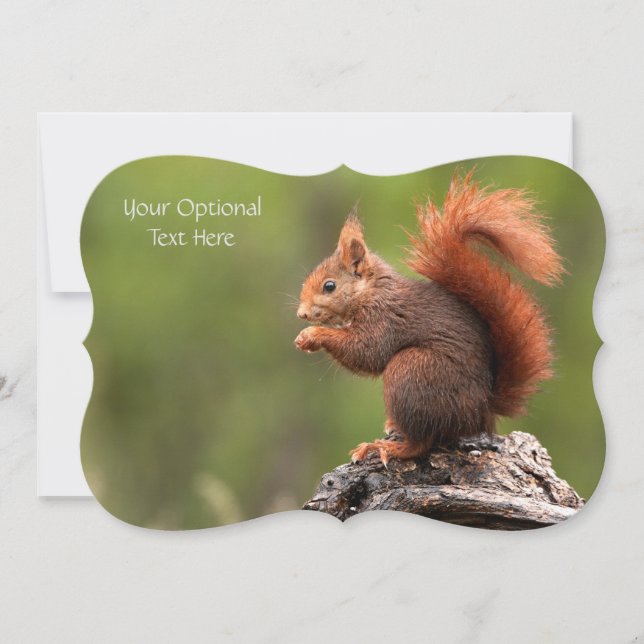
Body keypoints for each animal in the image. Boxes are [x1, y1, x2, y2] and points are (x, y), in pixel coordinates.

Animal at [294, 172, 564, 465]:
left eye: (329, 286)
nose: (302, 313)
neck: (371, 291)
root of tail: (482, 411)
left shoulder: (384, 318)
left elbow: (368, 352)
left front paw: (312, 335)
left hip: (412, 371)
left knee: (421, 442)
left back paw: (386, 447)